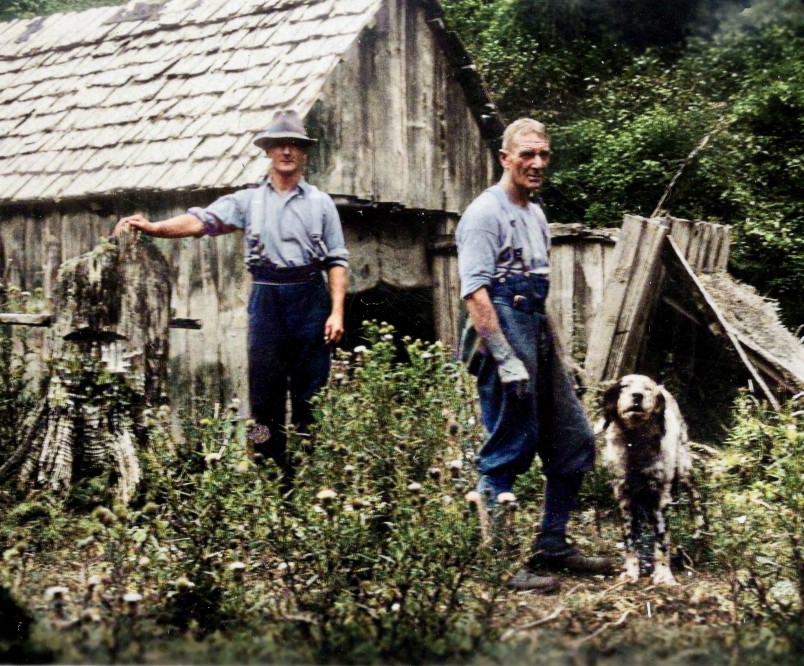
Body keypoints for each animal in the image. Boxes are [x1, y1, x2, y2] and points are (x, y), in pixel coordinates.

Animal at [600, 376, 708, 584]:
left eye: (648, 389)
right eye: (624, 386)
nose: (637, 396)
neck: (635, 444)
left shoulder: (661, 498)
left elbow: (662, 540)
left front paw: (664, 574)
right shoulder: (625, 497)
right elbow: (630, 538)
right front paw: (631, 571)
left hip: (683, 468)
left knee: (696, 498)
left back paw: (700, 533)